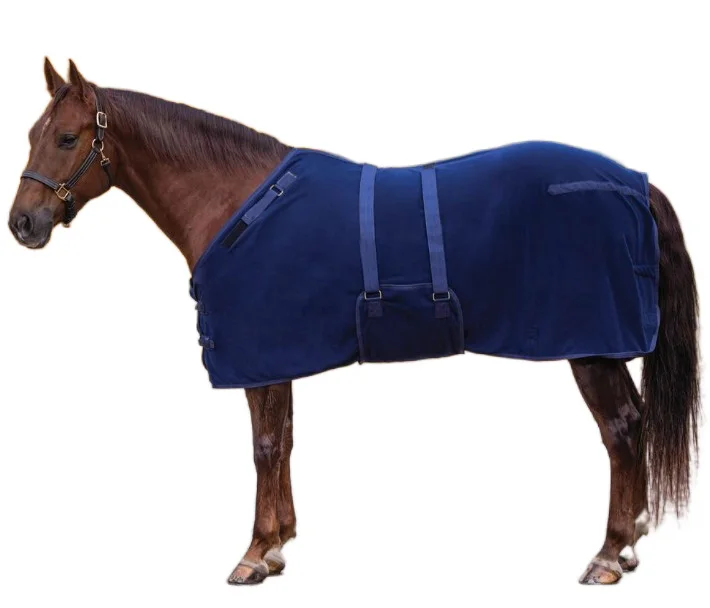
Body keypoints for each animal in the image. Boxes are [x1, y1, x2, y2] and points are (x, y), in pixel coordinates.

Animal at [8, 59, 700, 586]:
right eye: (33, 134)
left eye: (67, 138)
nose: (23, 224)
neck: (239, 205)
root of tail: (634, 184)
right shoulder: (279, 358)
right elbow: (284, 441)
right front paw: (280, 544)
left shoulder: (259, 355)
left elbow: (263, 447)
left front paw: (254, 555)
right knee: (631, 427)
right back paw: (629, 542)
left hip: (591, 346)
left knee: (621, 429)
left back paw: (608, 554)